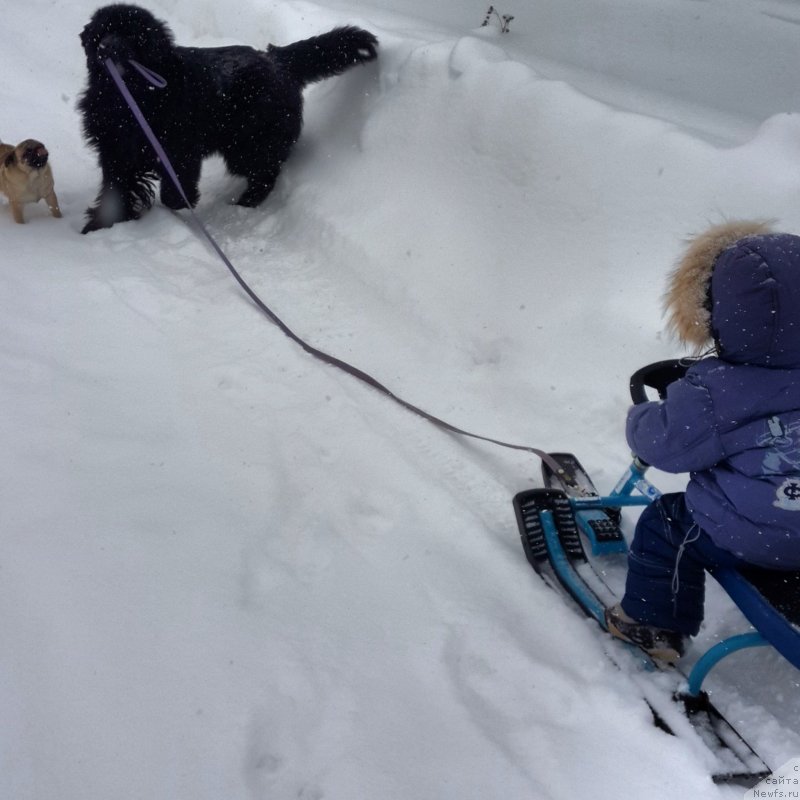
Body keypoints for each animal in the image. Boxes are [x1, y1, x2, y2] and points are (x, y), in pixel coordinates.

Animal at [76, 3, 376, 231]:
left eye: (132, 35)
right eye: (101, 32)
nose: (106, 48)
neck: (131, 96)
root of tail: (277, 60)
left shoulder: (180, 149)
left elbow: (173, 189)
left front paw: (180, 202)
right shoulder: (115, 151)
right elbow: (116, 189)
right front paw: (102, 224)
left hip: (247, 144)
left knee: (267, 170)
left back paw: (247, 202)